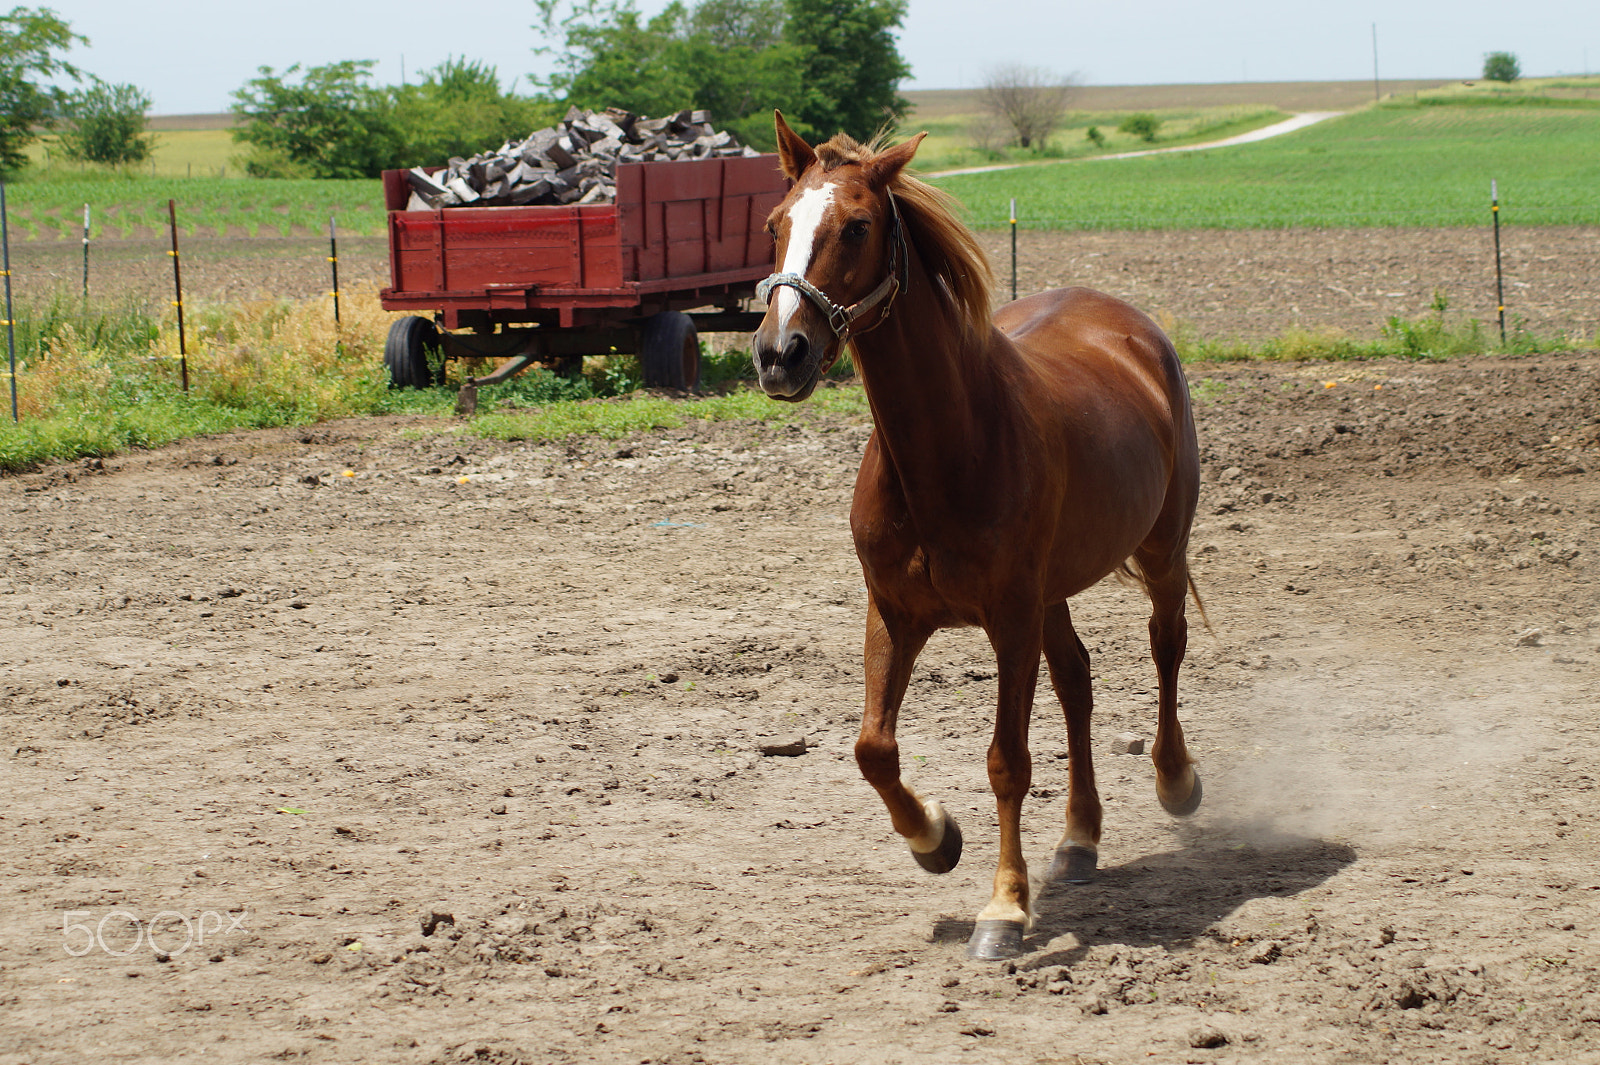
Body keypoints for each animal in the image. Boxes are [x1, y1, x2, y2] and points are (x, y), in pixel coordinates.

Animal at [755, 111, 1203, 959]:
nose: (778, 354)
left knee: (1165, 648)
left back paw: (1176, 781)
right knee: (1077, 681)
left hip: (1160, 551)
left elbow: (1007, 761)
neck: (947, 449)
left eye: (857, 226)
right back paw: (1079, 840)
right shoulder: (895, 614)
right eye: (775, 224)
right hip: (1055, 592)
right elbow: (873, 748)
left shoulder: (1009, 619)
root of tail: (1128, 325)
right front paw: (935, 838)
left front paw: (1004, 908)